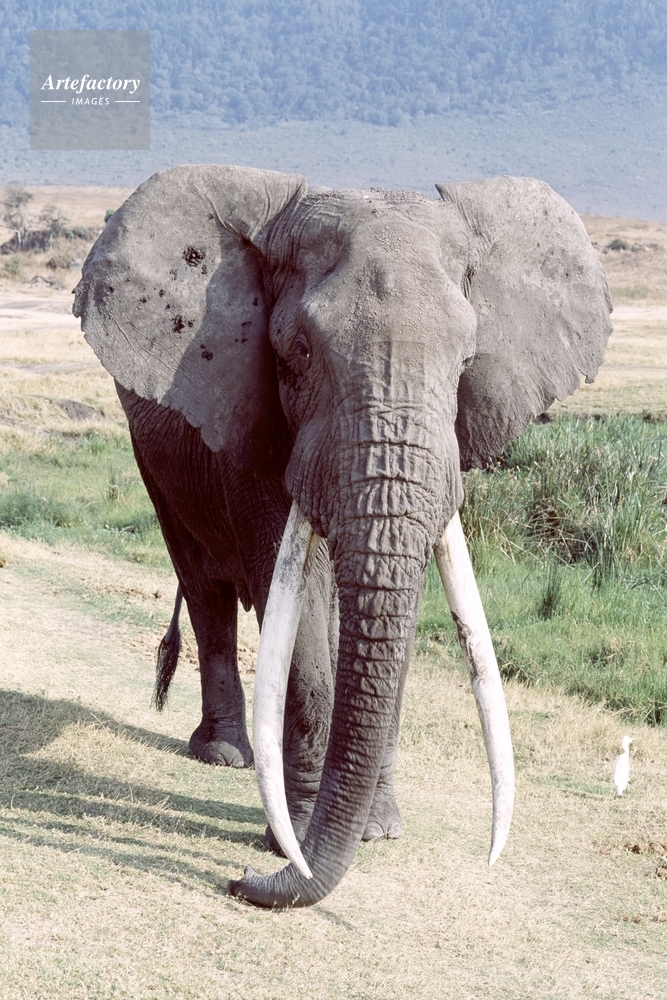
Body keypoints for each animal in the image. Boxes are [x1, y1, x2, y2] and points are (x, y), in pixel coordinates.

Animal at [73, 165, 612, 908]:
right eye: (295, 353)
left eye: (466, 361)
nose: (240, 882)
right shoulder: (253, 421)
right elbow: (295, 603)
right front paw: (288, 845)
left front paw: (376, 832)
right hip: (151, 456)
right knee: (205, 588)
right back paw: (224, 755)